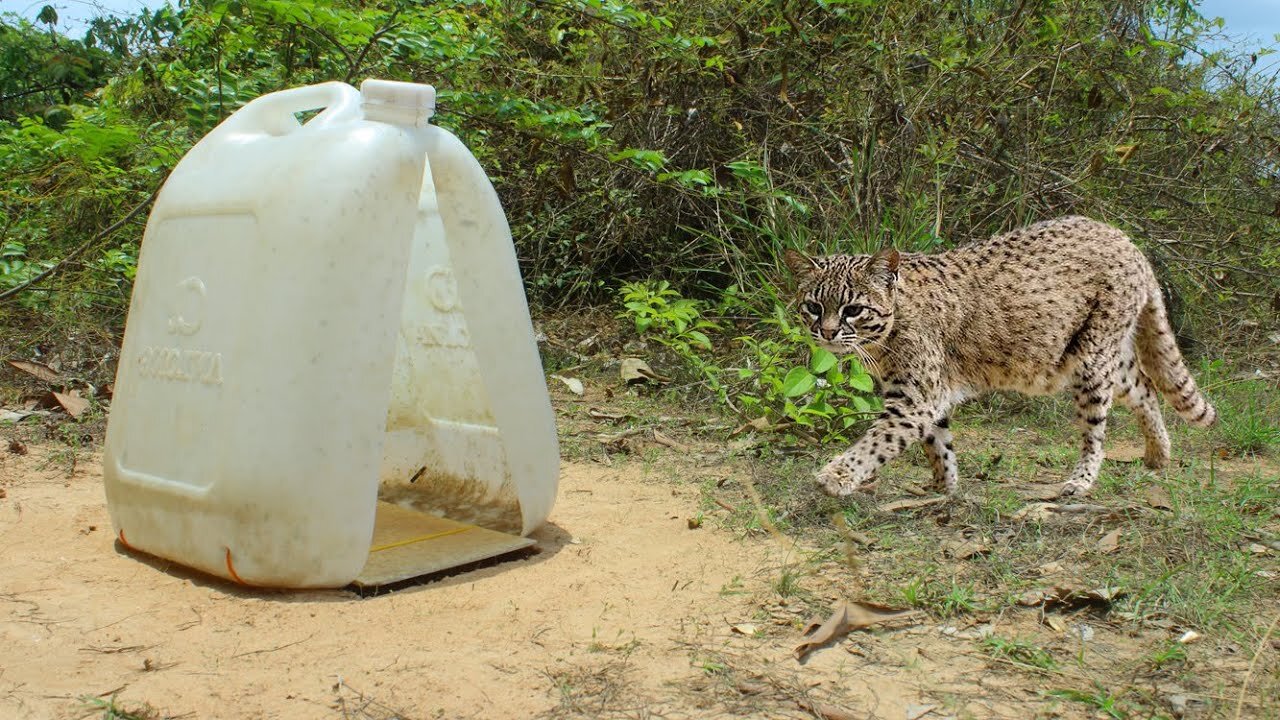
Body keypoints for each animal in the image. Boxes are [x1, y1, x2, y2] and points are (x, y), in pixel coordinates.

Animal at [783, 215, 1213, 497]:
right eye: (813, 307)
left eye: (853, 309)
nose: (826, 333)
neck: (884, 336)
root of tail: (1122, 236)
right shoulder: (926, 396)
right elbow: (938, 443)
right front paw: (943, 487)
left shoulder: (915, 398)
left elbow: (878, 440)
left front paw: (837, 476)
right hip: (1099, 357)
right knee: (1145, 387)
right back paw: (1158, 455)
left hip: (1092, 361)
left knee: (1096, 431)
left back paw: (1081, 480)